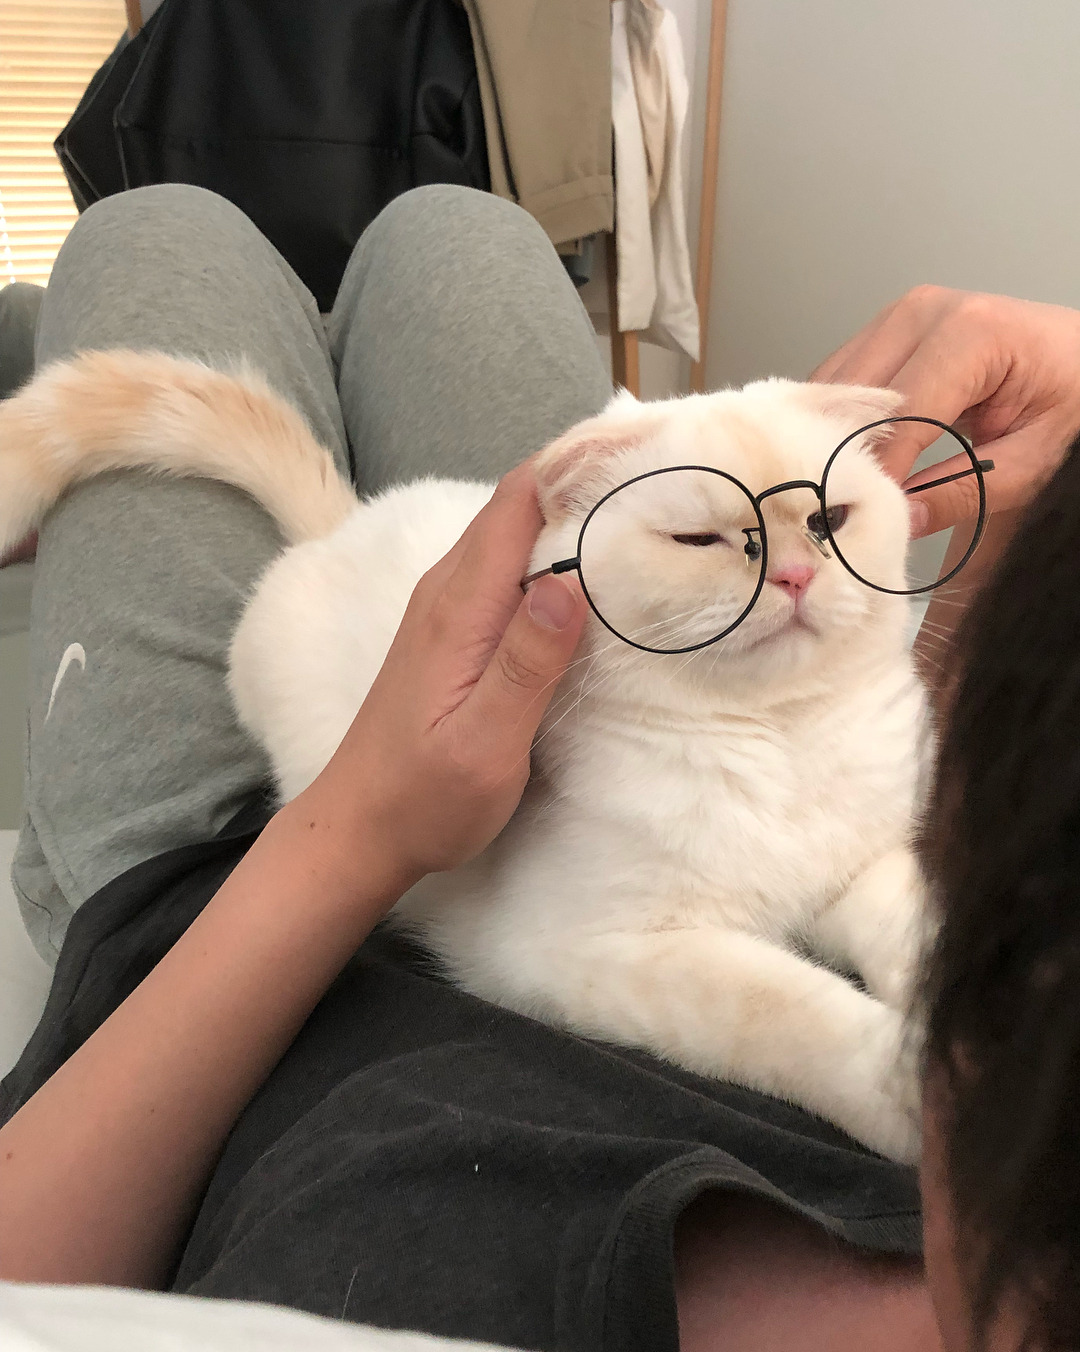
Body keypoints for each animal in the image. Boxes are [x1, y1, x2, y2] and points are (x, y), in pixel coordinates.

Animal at [0, 349, 931, 1162]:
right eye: (698, 540)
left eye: (828, 521)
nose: (799, 575)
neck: (779, 742)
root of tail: (344, 527)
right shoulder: (597, 953)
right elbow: (788, 1009)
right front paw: (905, 1093)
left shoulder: (863, 868)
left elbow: (913, 930)